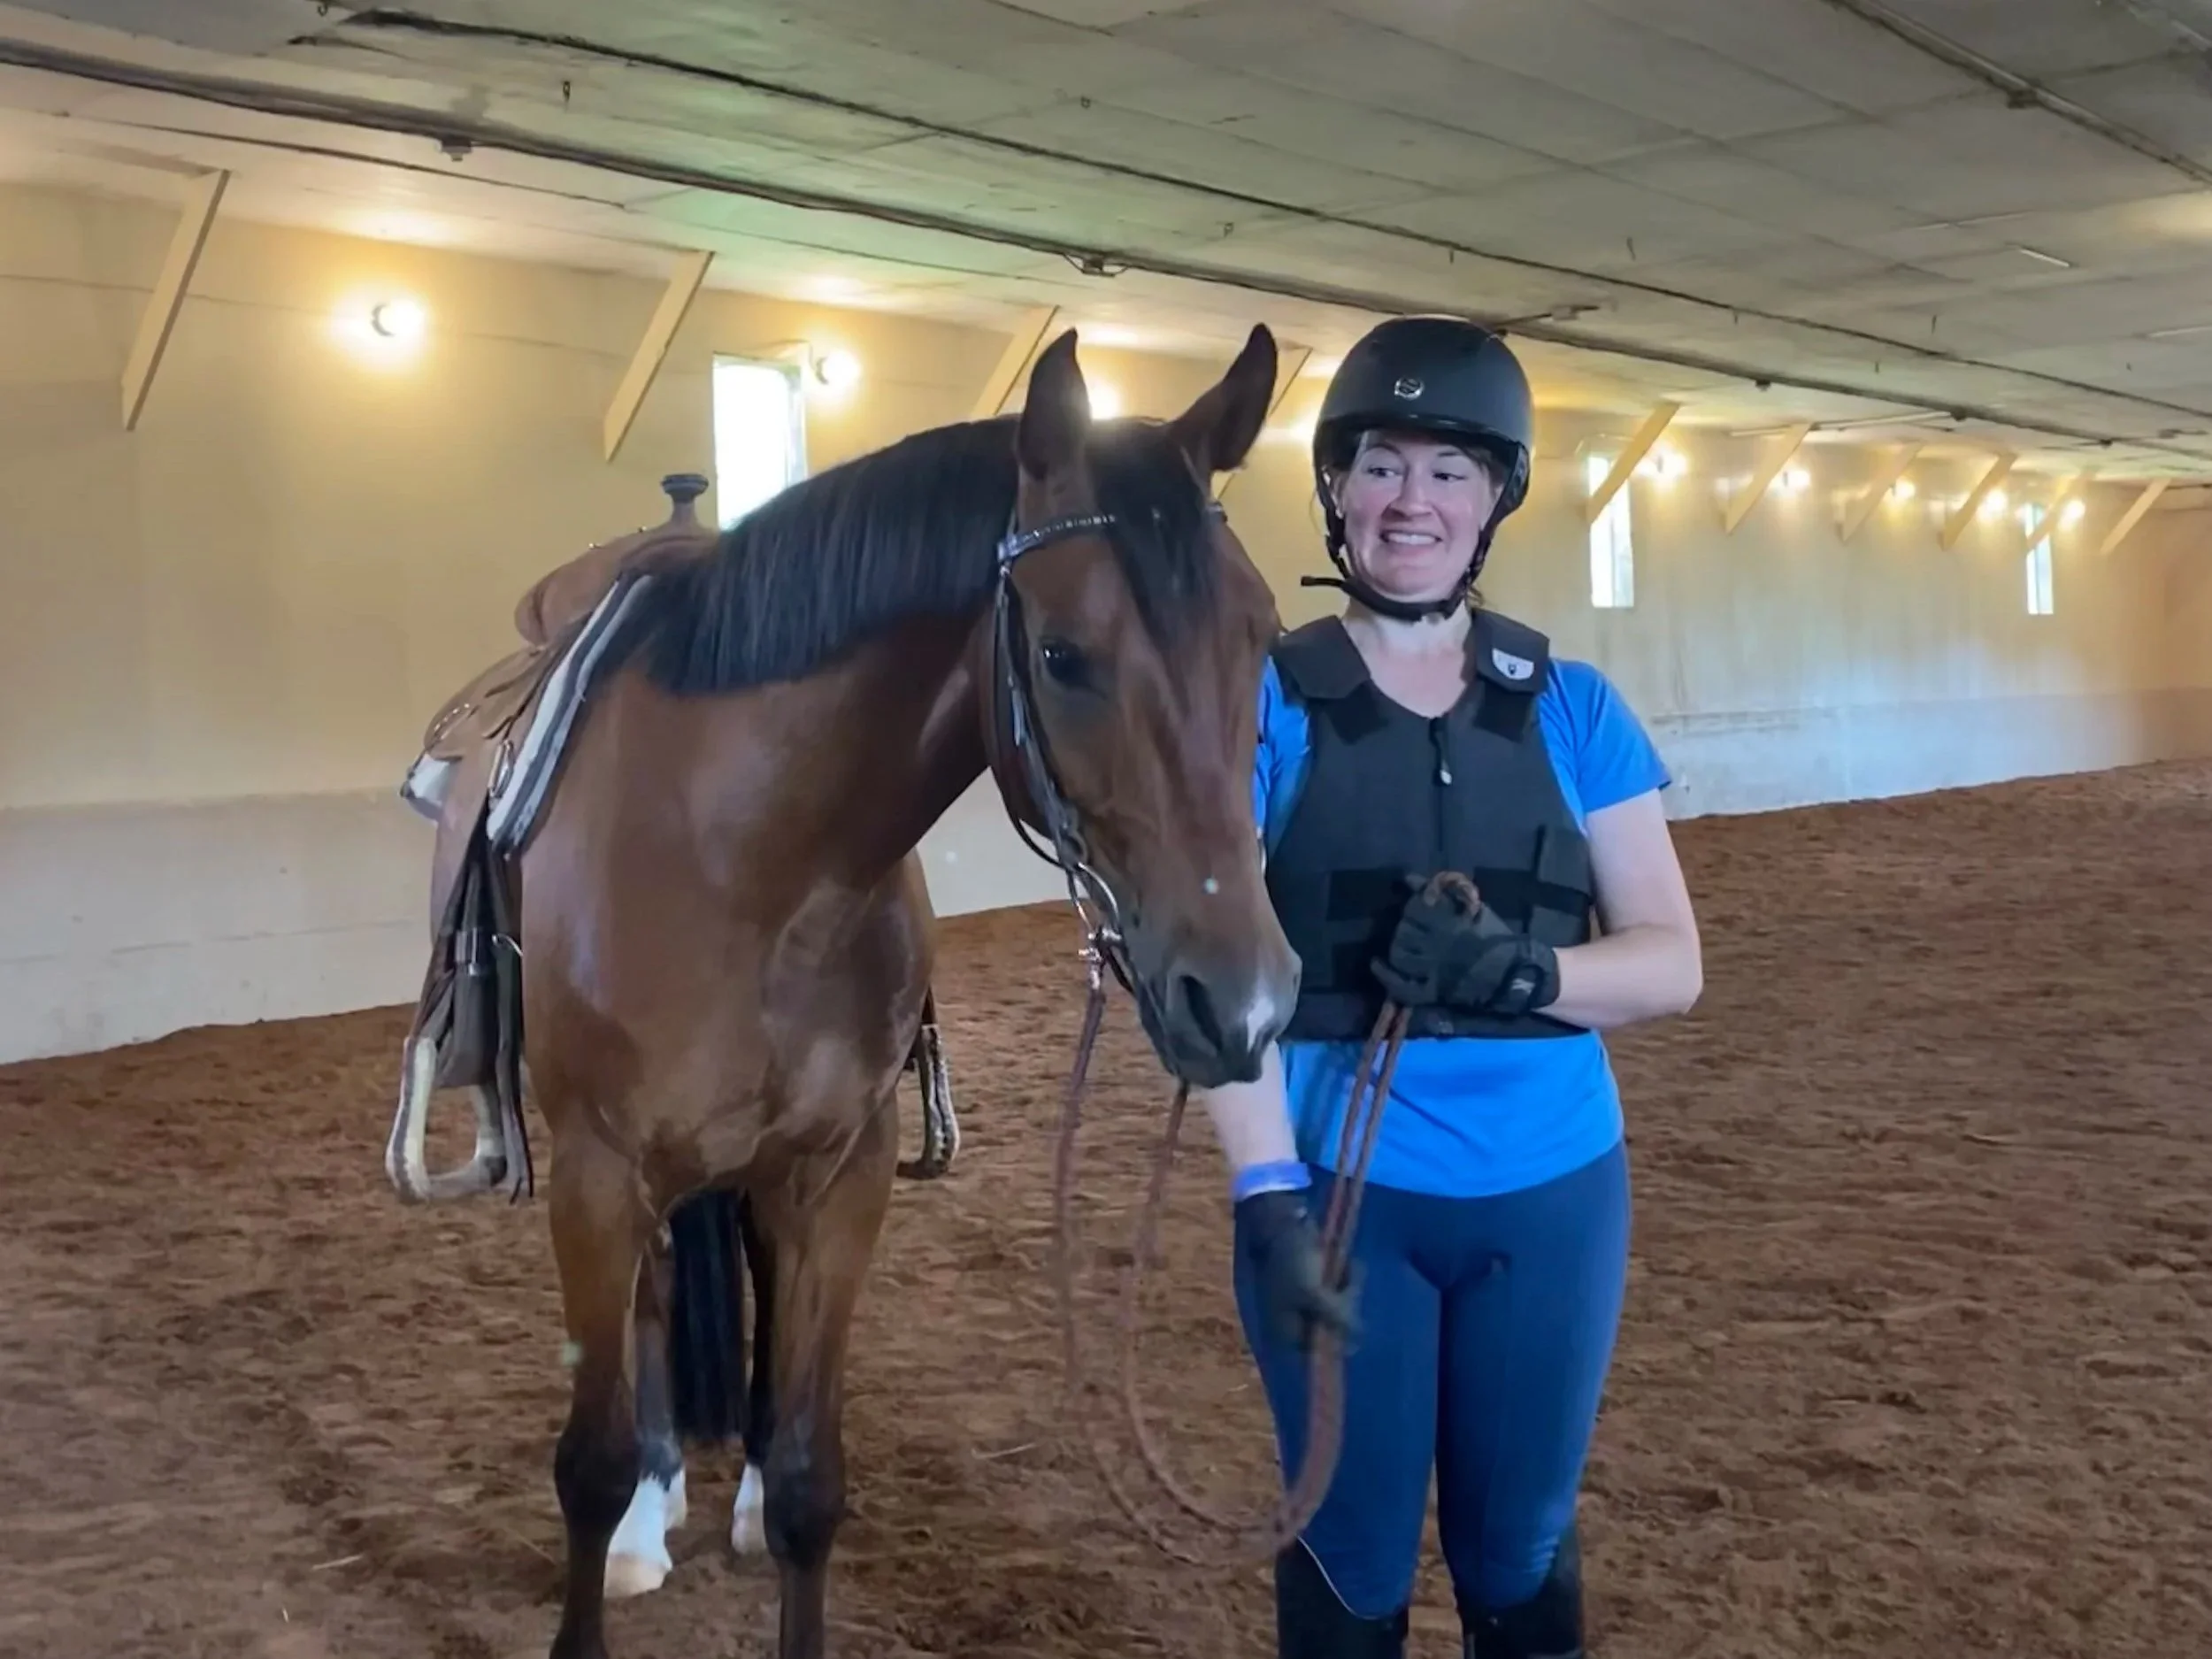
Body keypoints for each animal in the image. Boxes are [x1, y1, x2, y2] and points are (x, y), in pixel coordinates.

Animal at [395, 322, 1300, 1659]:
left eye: (1261, 637)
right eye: (1062, 654)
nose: (1243, 1001)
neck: (749, 859)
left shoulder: (842, 1172)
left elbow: (814, 1478)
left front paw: (773, 1497)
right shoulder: (598, 1173)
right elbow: (590, 1460)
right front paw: (625, 1513)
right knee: (654, 1303)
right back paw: (651, 1514)